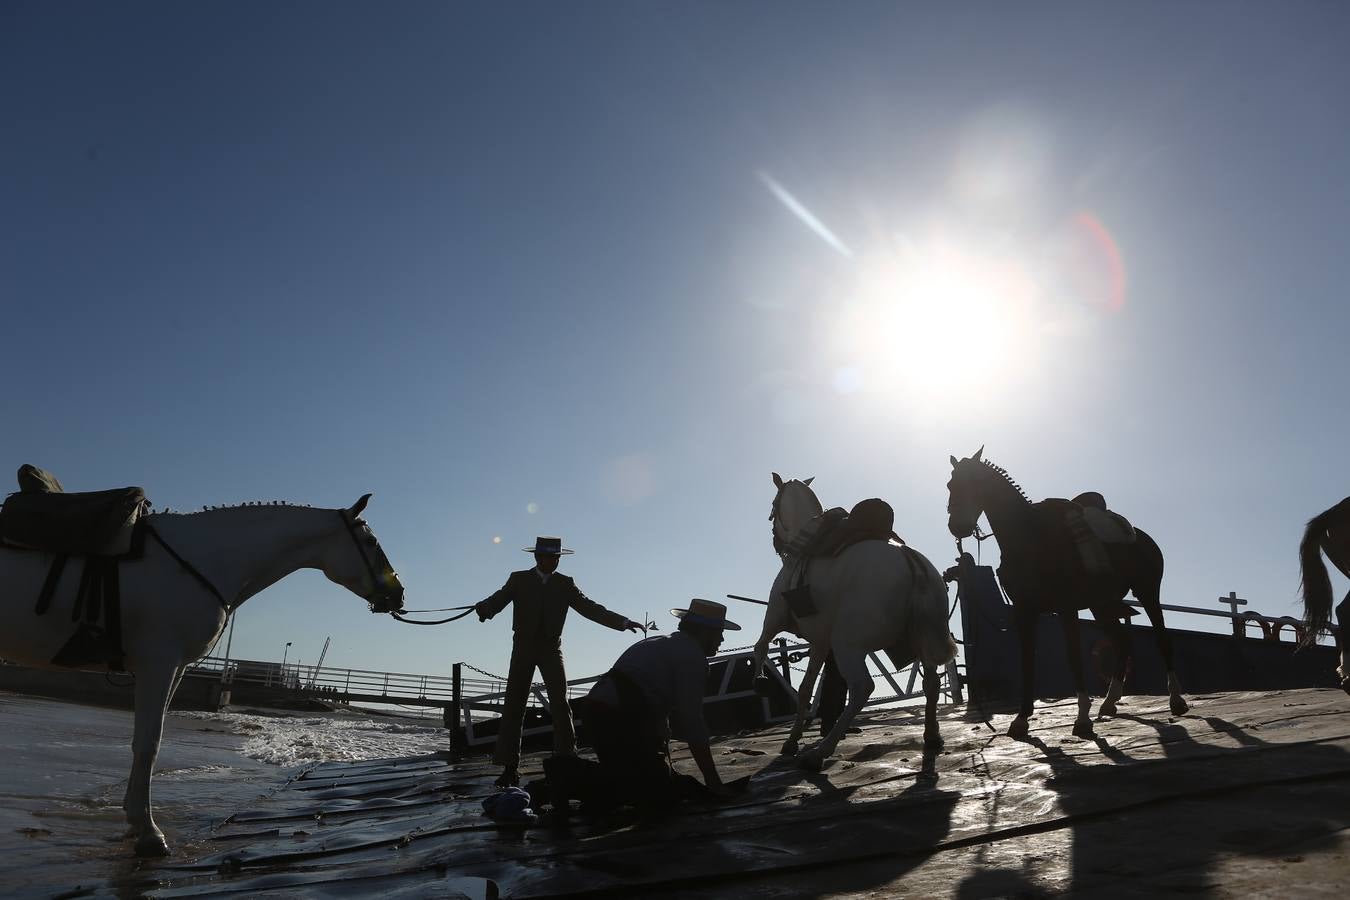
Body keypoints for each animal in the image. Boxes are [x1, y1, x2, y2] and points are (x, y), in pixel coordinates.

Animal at [0, 496, 405, 858]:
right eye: (371, 542)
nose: (398, 594)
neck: (201, 557)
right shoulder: (159, 662)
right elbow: (149, 743)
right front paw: (149, 833)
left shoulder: (175, 667)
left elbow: (149, 740)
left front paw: (136, 819)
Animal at [750, 474, 961, 771]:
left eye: (773, 507)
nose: (775, 543)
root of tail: (910, 561)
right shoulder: (820, 642)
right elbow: (805, 689)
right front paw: (792, 739)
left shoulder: (774, 619)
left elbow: (760, 648)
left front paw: (760, 682)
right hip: (922, 641)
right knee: (930, 683)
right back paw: (931, 735)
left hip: (848, 646)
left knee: (862, 688)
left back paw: (821, 751)